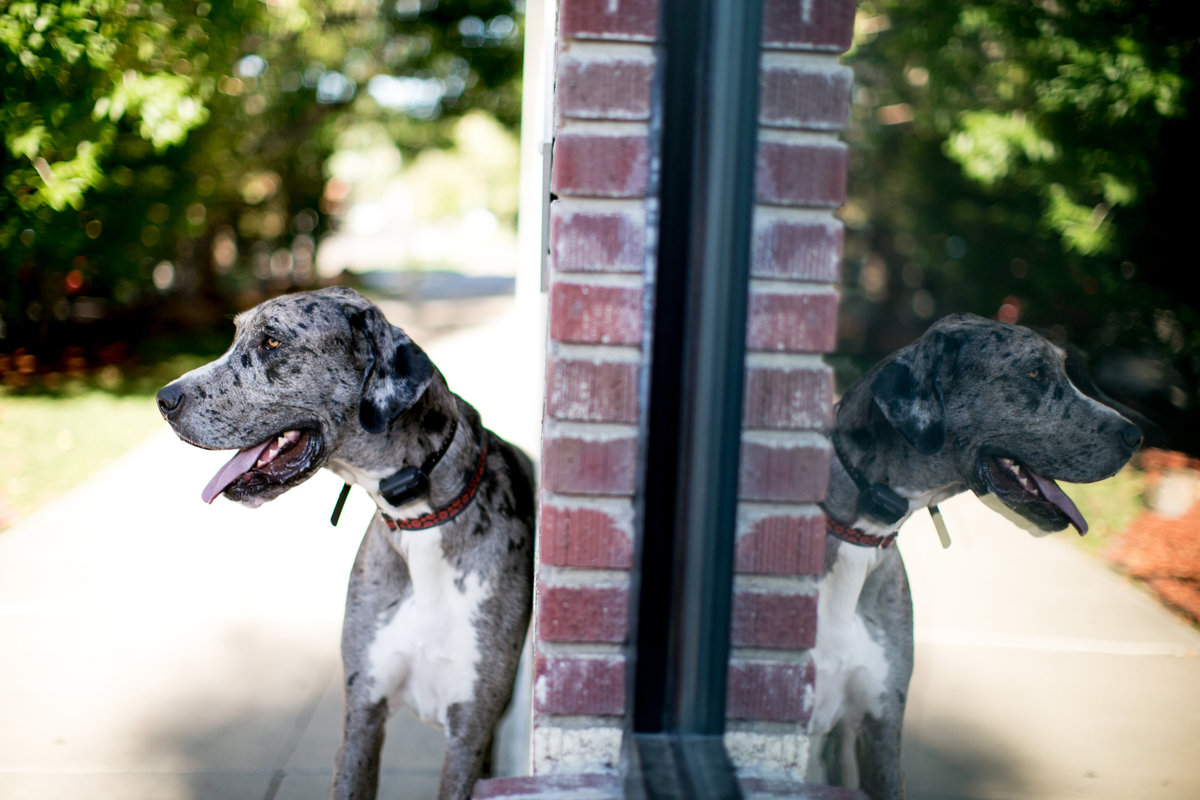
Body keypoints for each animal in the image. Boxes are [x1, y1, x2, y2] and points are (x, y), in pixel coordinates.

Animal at [156, 287, 535, 800]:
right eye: (235, 335)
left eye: (272, 341)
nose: (164, 398)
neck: (421, 523)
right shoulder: (362, 713)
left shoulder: (469, 730)